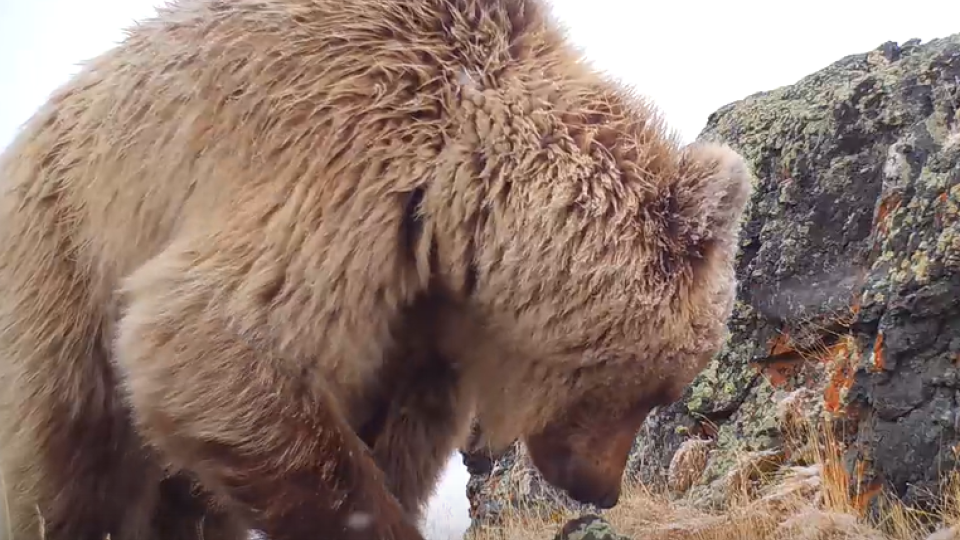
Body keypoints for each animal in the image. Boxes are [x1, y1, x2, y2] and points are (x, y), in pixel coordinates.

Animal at [0, 0, 752, 536]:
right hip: (66, 262)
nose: (602, 488)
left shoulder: (419, 325)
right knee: (72, 462)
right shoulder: (340, 171)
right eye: (656, 384)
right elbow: (211, 339)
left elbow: (402, 439)